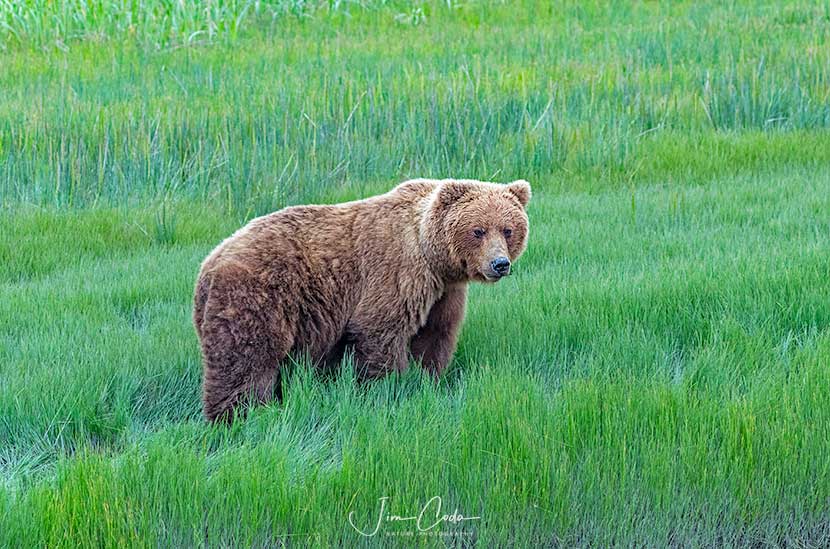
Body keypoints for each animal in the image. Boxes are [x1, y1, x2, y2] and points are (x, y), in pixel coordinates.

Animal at [194, 178, 528, 422]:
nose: (499, 264)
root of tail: (210, 263)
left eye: (508, 229)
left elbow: (434, 336)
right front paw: (388, 387)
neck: (431, 255)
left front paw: (427, 381)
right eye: (478, 230)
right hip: (259, 296)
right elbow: (381, 331)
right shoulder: (397, 273)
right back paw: (238, 415)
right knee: (247, 357)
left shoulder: (444, 293)